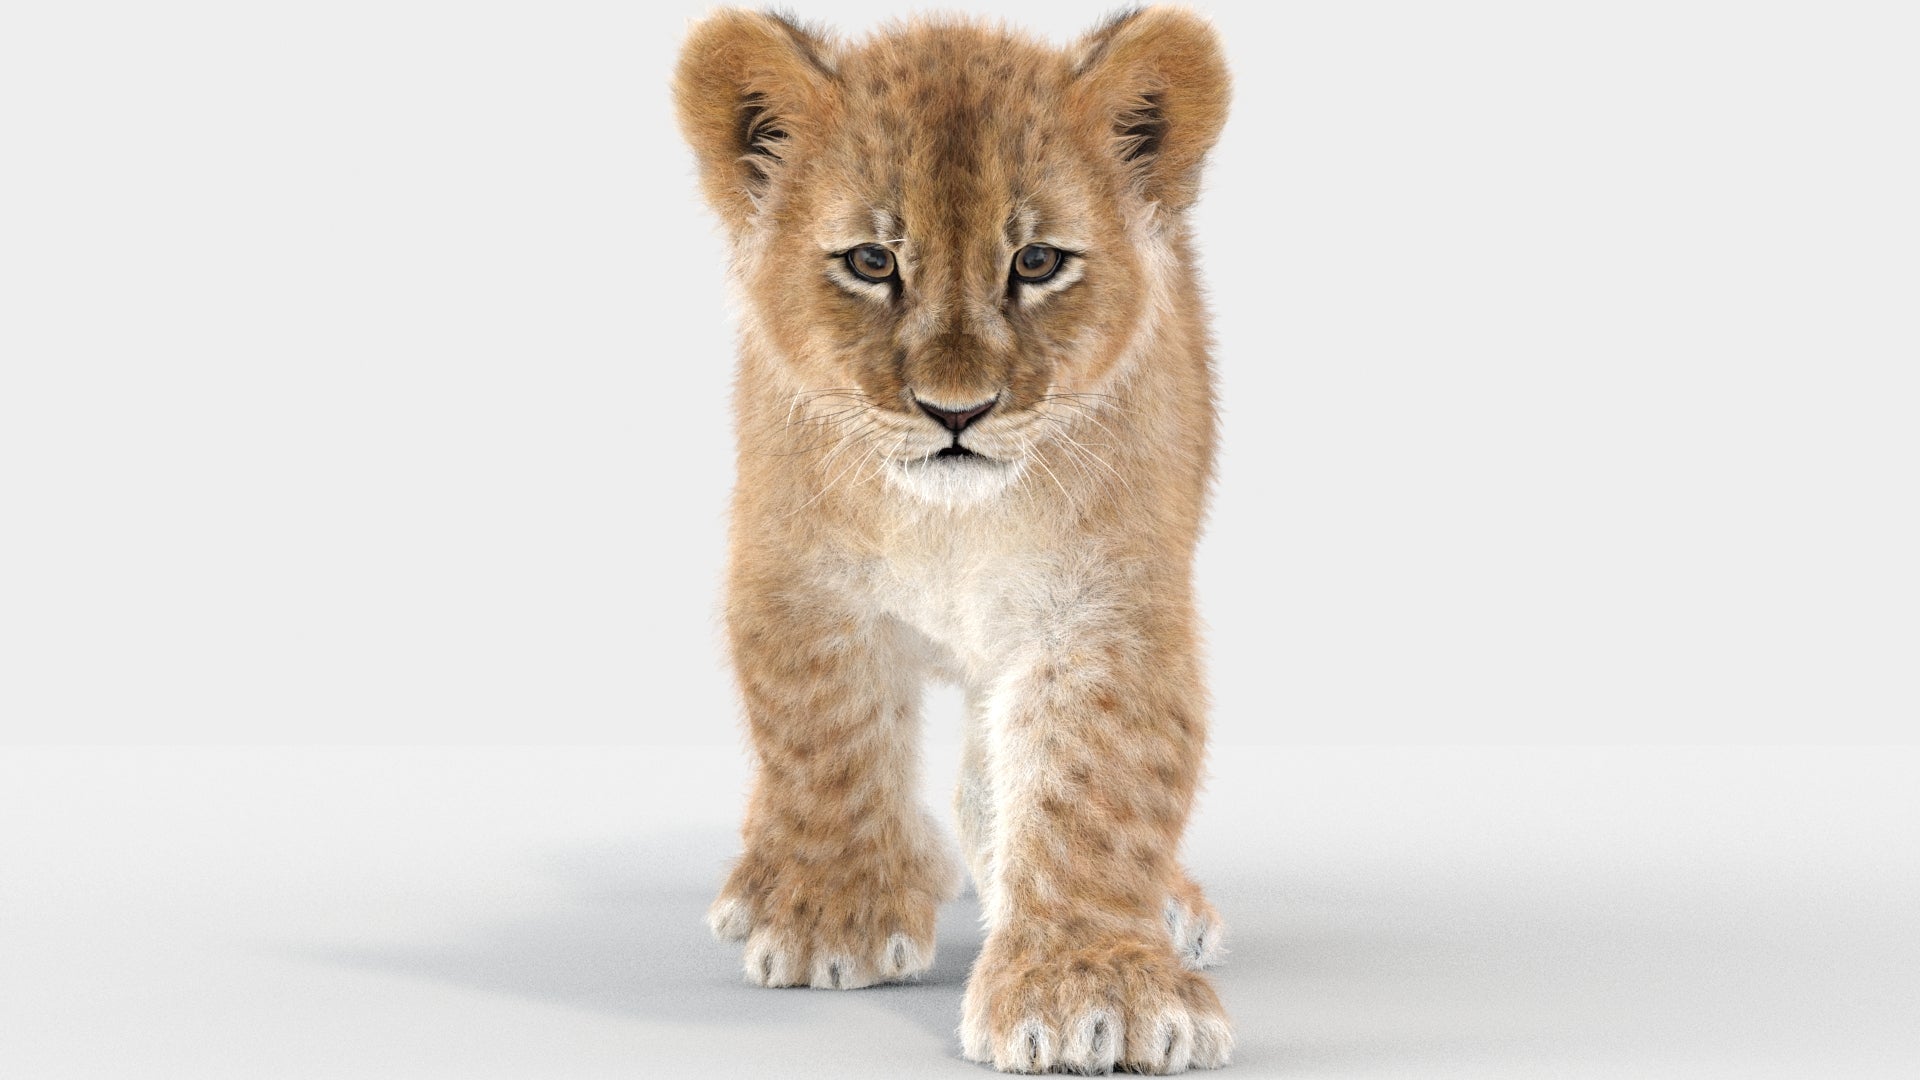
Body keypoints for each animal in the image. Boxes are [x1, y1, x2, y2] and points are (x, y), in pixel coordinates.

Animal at [673, 7, 1233, 1073]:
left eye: (1038, 262)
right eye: (871, 262)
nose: (956, 411)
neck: (953, 523)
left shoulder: (1105, 608)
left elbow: (1092, 782)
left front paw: (1095, 992)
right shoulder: (797, 579)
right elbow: (827, 740)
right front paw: (830, 920)